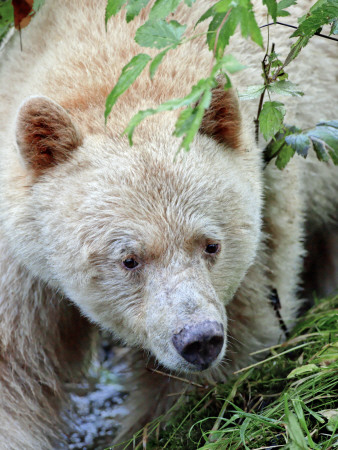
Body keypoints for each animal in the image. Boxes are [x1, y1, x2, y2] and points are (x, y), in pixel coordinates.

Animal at [0, 0, 336, 448]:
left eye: (212, 244)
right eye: (128, 259)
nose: (199, 340)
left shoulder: (268, 205)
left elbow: (246, 329)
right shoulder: (20, 257)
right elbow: (14, 367)